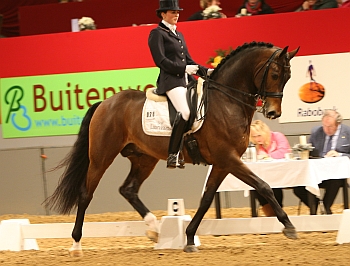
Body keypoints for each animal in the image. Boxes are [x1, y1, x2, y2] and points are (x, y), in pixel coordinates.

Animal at [45, 42, 300, 256]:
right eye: (275, 75)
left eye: (288, 77)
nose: (273, 113)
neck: (227, 102)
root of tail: (105, 103)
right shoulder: (228, 158)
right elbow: (264, 186)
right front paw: (289, 226)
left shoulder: (223, 163)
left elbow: (207, 199)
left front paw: (189, 238)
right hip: (101, 156)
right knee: (86, 193)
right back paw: (76, 245)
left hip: (144, 158)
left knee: (128, 189)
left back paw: (155, 229)